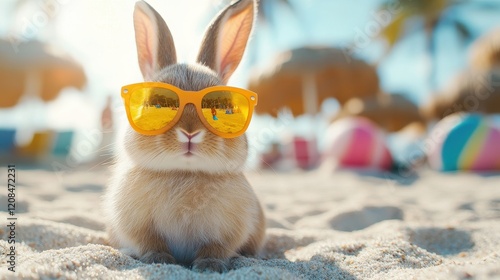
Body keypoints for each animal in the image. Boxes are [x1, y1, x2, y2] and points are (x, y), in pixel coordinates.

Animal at [104, 0, 268, 272]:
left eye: (226, 106)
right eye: (154, 104)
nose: (190, 133)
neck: (184, 172)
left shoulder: (227, 230)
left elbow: (216, 248)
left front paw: (209, 266)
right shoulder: (138, 225)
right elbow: (150, 243)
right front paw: (158, 259)